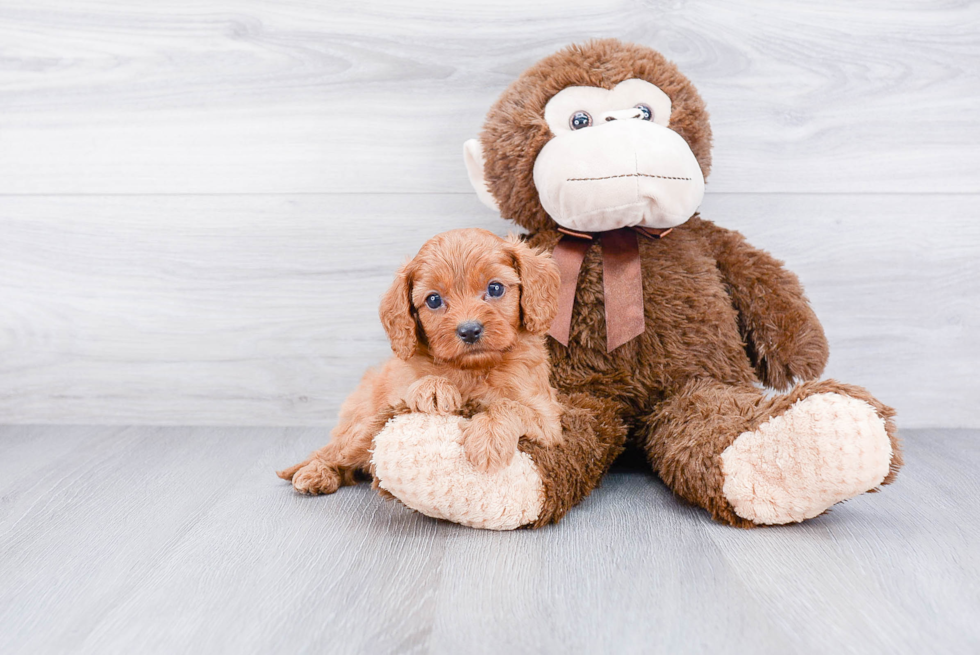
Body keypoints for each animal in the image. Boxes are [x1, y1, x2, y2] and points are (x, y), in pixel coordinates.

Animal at [280, 228, 564, 494]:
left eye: (495, 288)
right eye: (434, 299)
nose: (469, 330)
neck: (472, 369)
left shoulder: (548, 419)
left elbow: (509, 405)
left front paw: (487, 440)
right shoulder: (397, 395)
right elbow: (421, 383)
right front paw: (435, 388)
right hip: (362, 427)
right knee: (332, 453)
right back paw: (315, 472)